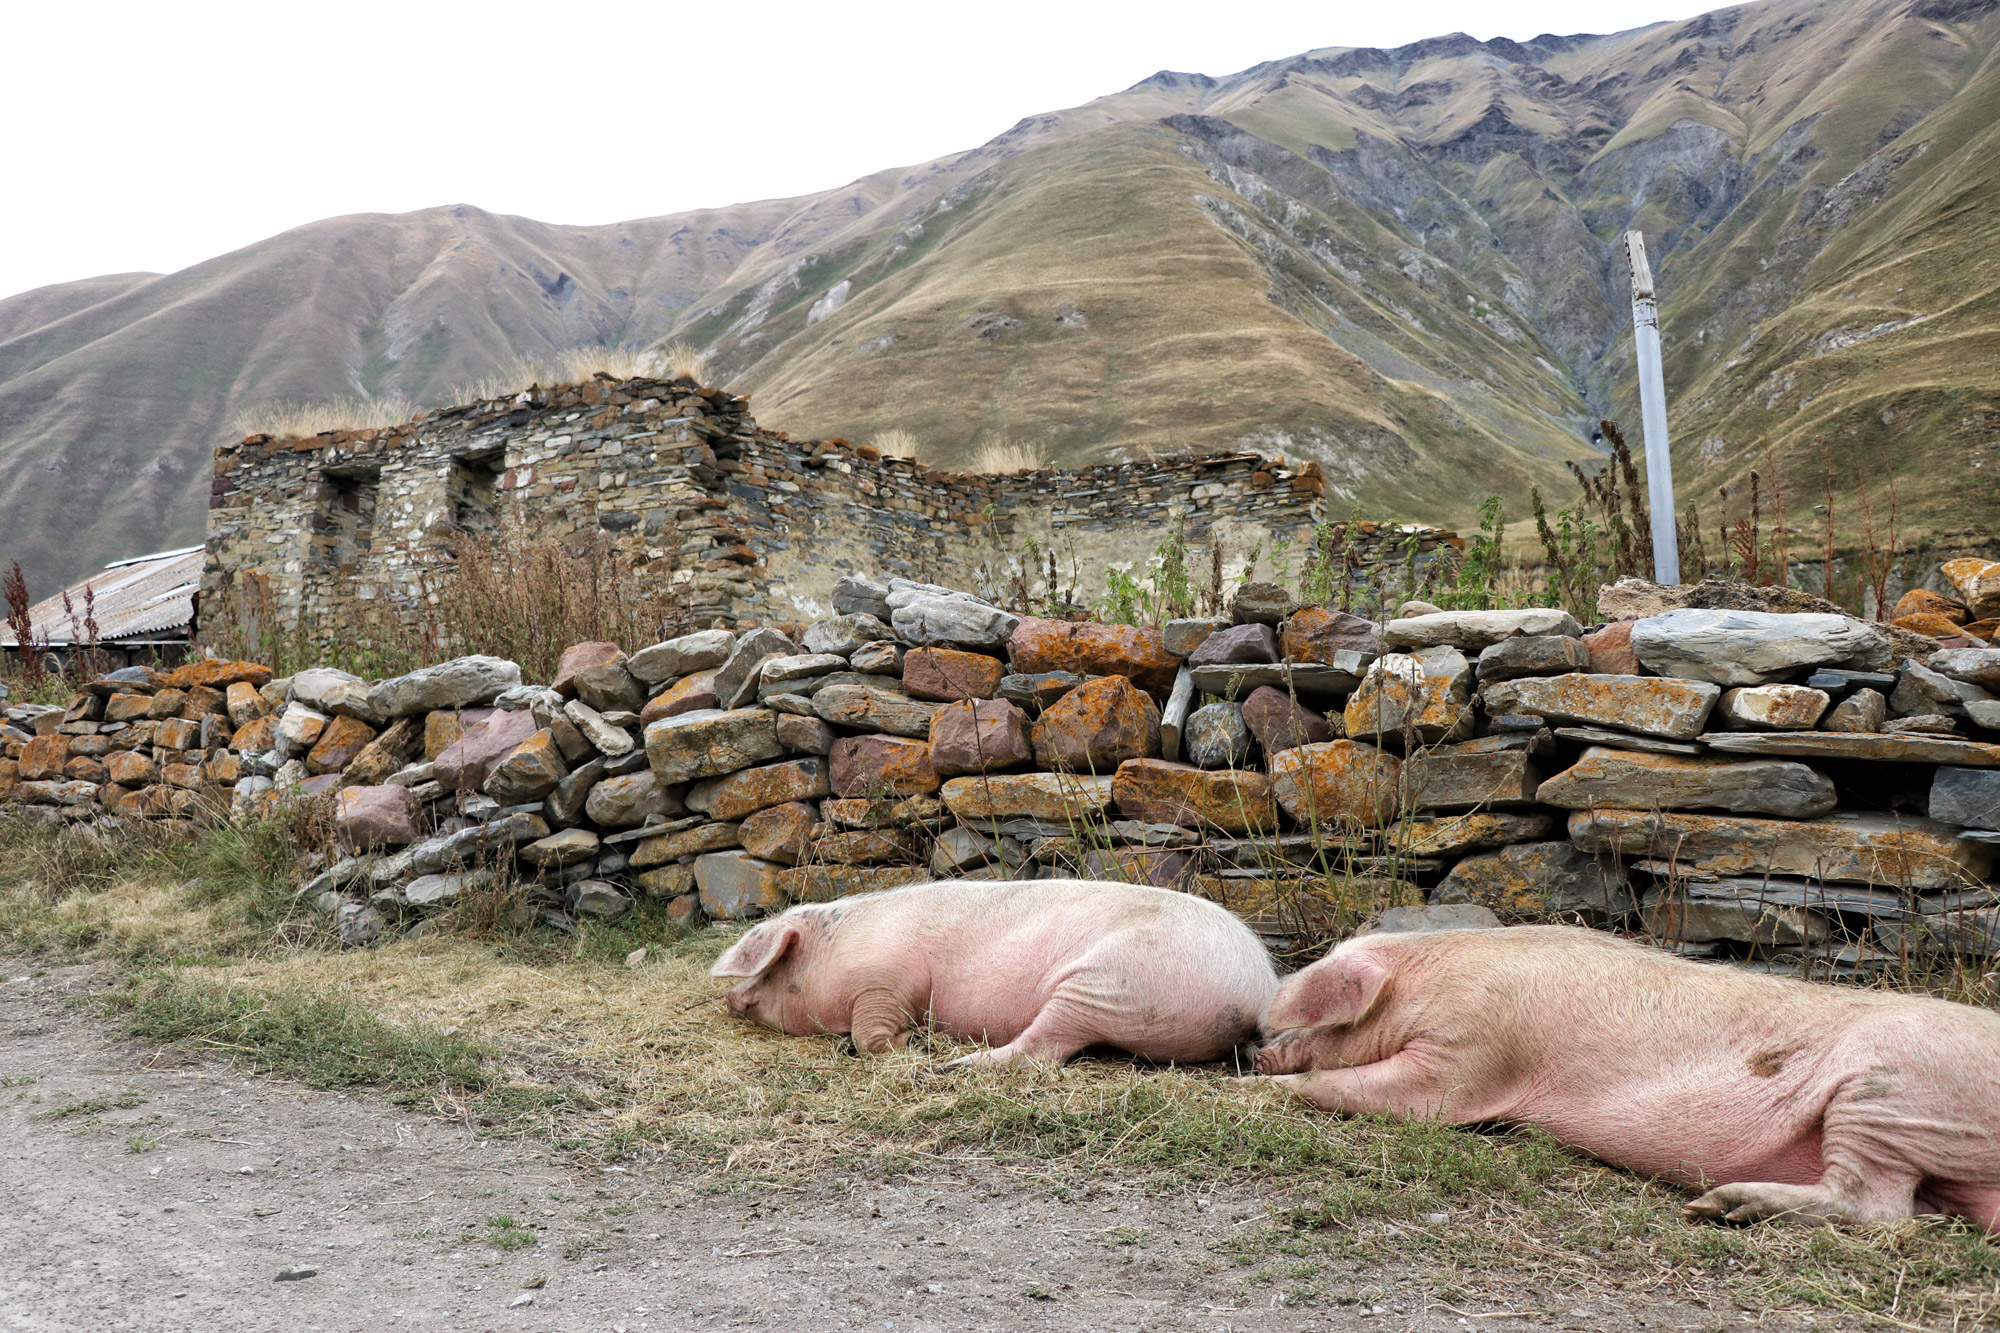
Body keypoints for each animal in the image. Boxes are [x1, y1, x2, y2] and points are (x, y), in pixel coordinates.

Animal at [712, 876, 1272, 1064]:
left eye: (772, 970)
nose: (729, 999)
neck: (834, 953)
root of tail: (1260, 990)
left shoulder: (886, 978)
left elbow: (872, 1035)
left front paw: (909, 1045)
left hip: (1109, 984)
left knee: (1041, 1052)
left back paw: (952, 1064)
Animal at [1256, 924, 2000, 1224]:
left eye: (1312, 1018)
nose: (1257, 1049)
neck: (1426, 979)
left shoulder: (1465, 1054)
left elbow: (1381, 1092)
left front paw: (1258, 1088)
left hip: (1890, 1094)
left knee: (1877, 1208)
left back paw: (1717, 1207)